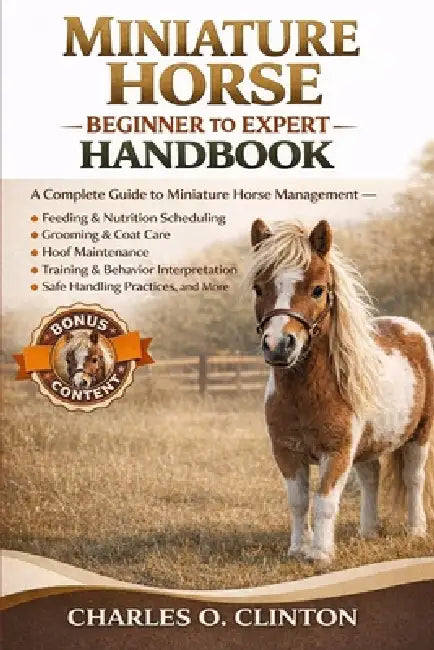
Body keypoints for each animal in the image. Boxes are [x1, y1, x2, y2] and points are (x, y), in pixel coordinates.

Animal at [249, 218, 434, 565]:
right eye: (259, 288)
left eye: (318, 289)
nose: (279, 346)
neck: (307, 394)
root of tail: (411, 329)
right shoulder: (286, 452)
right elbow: (298, 501)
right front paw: (298, 549)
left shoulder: (336, 453)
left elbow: (324, 501)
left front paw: (320, 554)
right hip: (368, 445)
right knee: (372, 477)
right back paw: (368, 532)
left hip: (420, 434)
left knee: (414, 478)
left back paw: (416, 530)